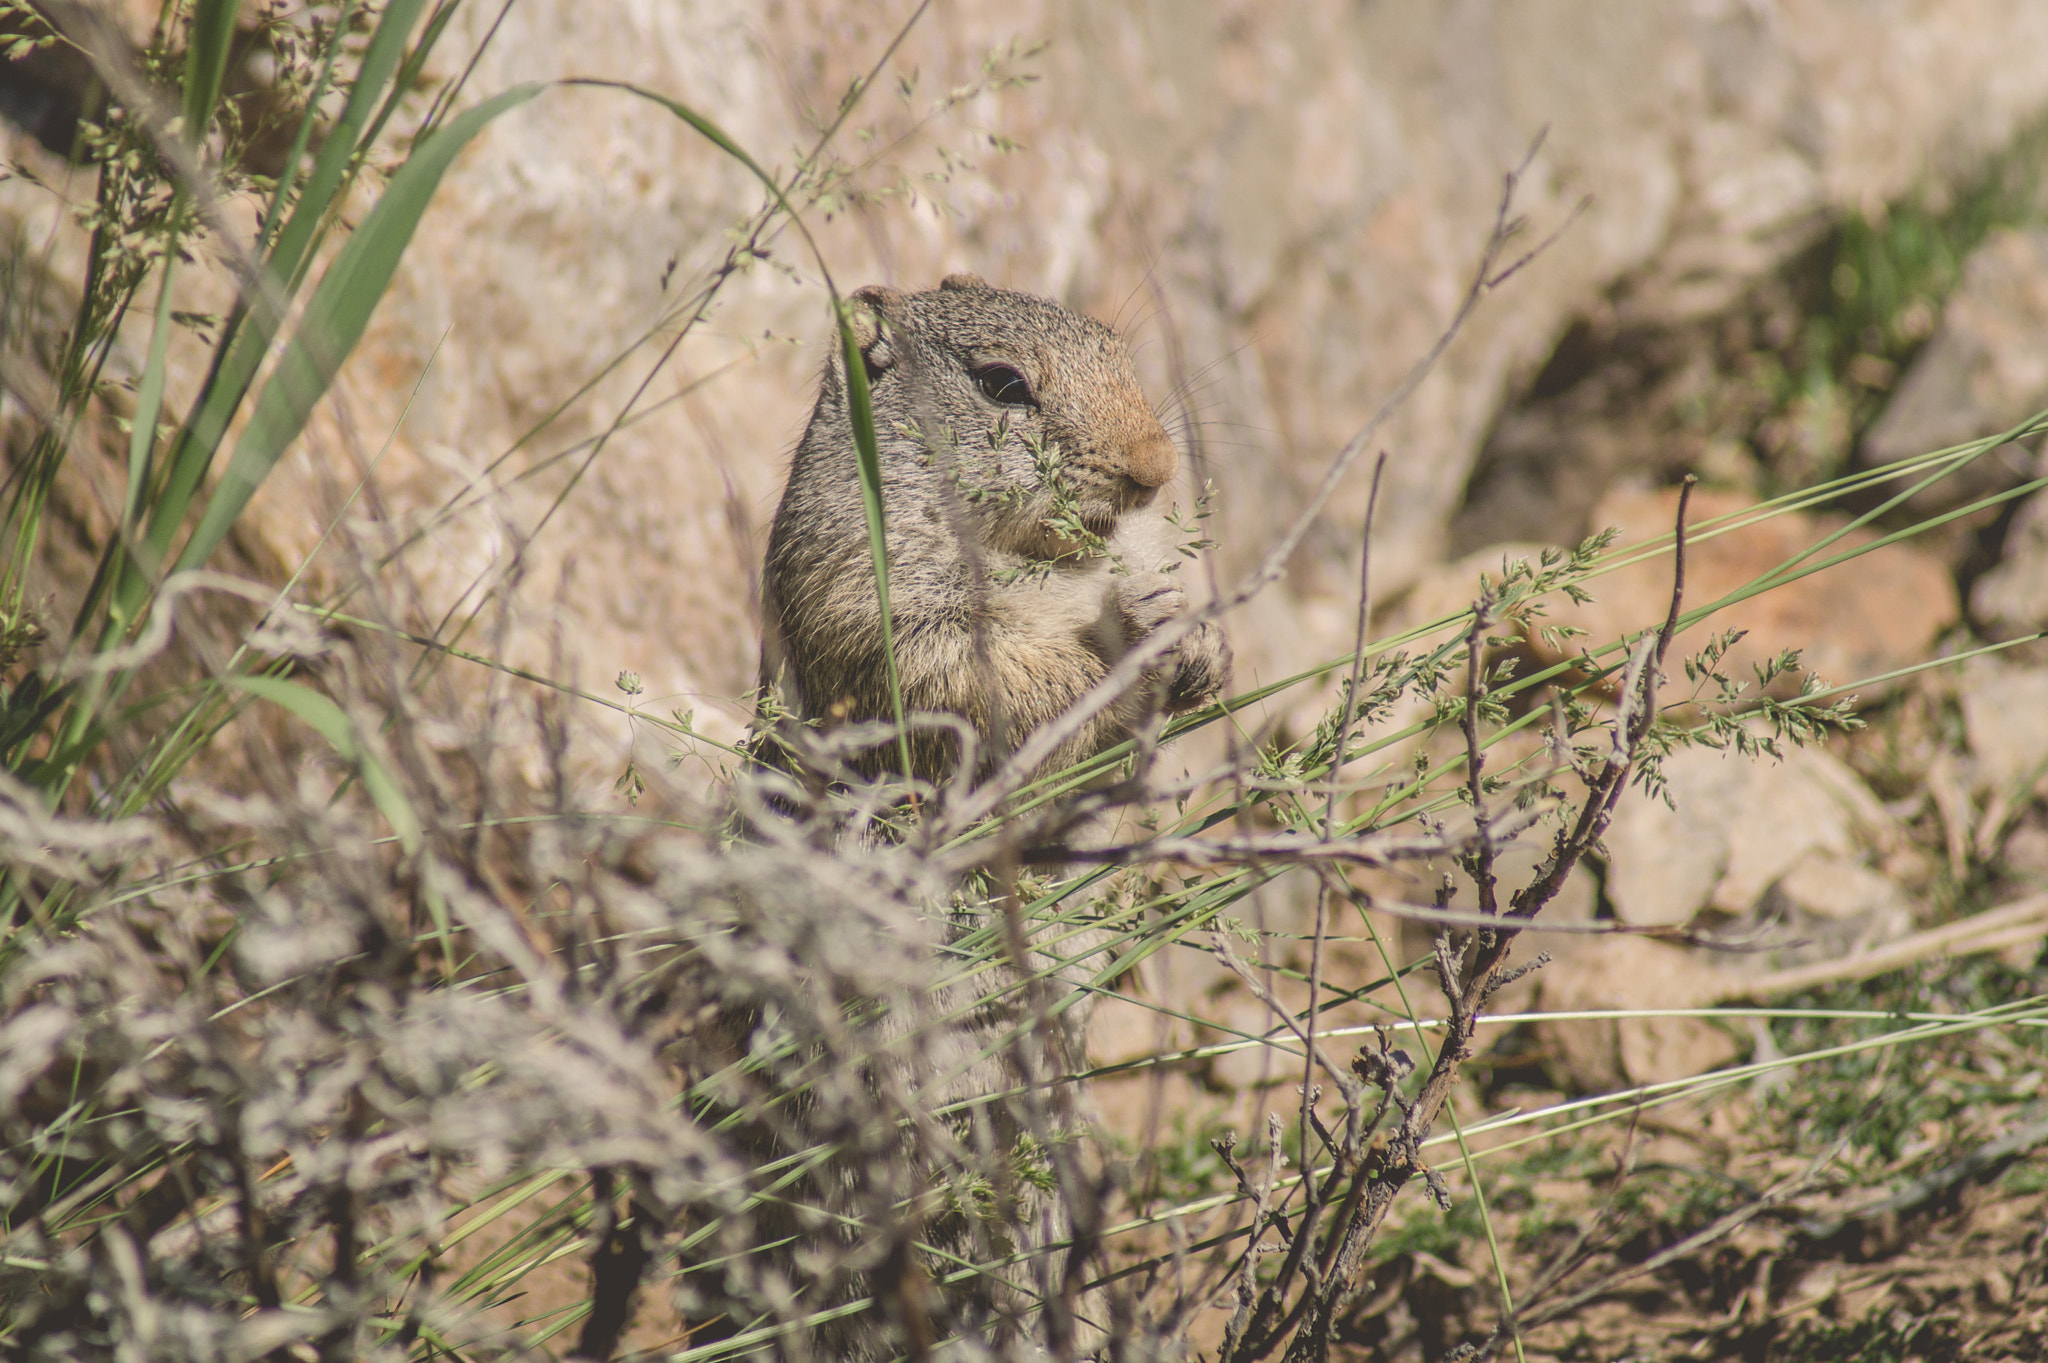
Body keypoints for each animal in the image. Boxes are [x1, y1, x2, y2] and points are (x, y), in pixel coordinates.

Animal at [759, 272, 1232, 783]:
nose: (1158, 466)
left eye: (1116, 349)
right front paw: (1131, 621)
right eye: (1002, 383)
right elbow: (990, 693)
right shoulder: (865, 607)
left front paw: (1206, 645)